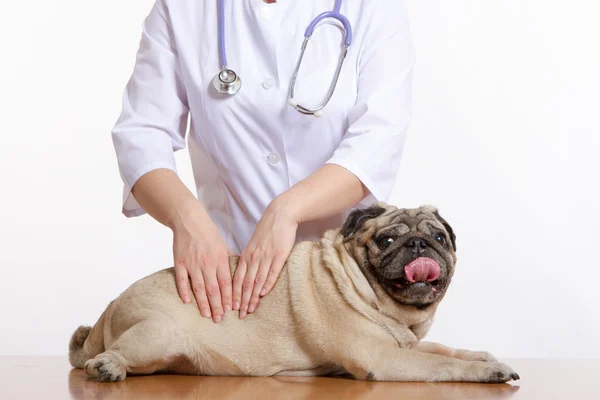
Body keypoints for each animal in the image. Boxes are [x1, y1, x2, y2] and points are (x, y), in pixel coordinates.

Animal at [69, 205, 520, 382]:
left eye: (440, 238)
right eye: (388, 239)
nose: (418, 245)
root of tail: (109, 308)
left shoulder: (404, 344)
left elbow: (446, 350)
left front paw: (483, 356)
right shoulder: (385, 358)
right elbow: (440, 364)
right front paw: (488, 372)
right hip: (157, 335)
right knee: (105, 357)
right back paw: (108, 366)